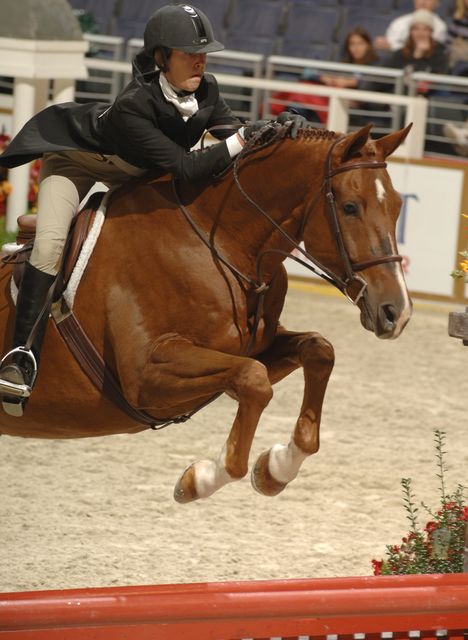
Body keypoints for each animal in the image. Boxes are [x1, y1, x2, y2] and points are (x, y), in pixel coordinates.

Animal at [0, 122, 412, 502]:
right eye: (350, 207)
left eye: (396, 206)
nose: (397, 312)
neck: (223, 244)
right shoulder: (144, 376)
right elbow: (253, 381)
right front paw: (199, 479)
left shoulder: (252, 351)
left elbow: (318, 351)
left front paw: (274, 468)